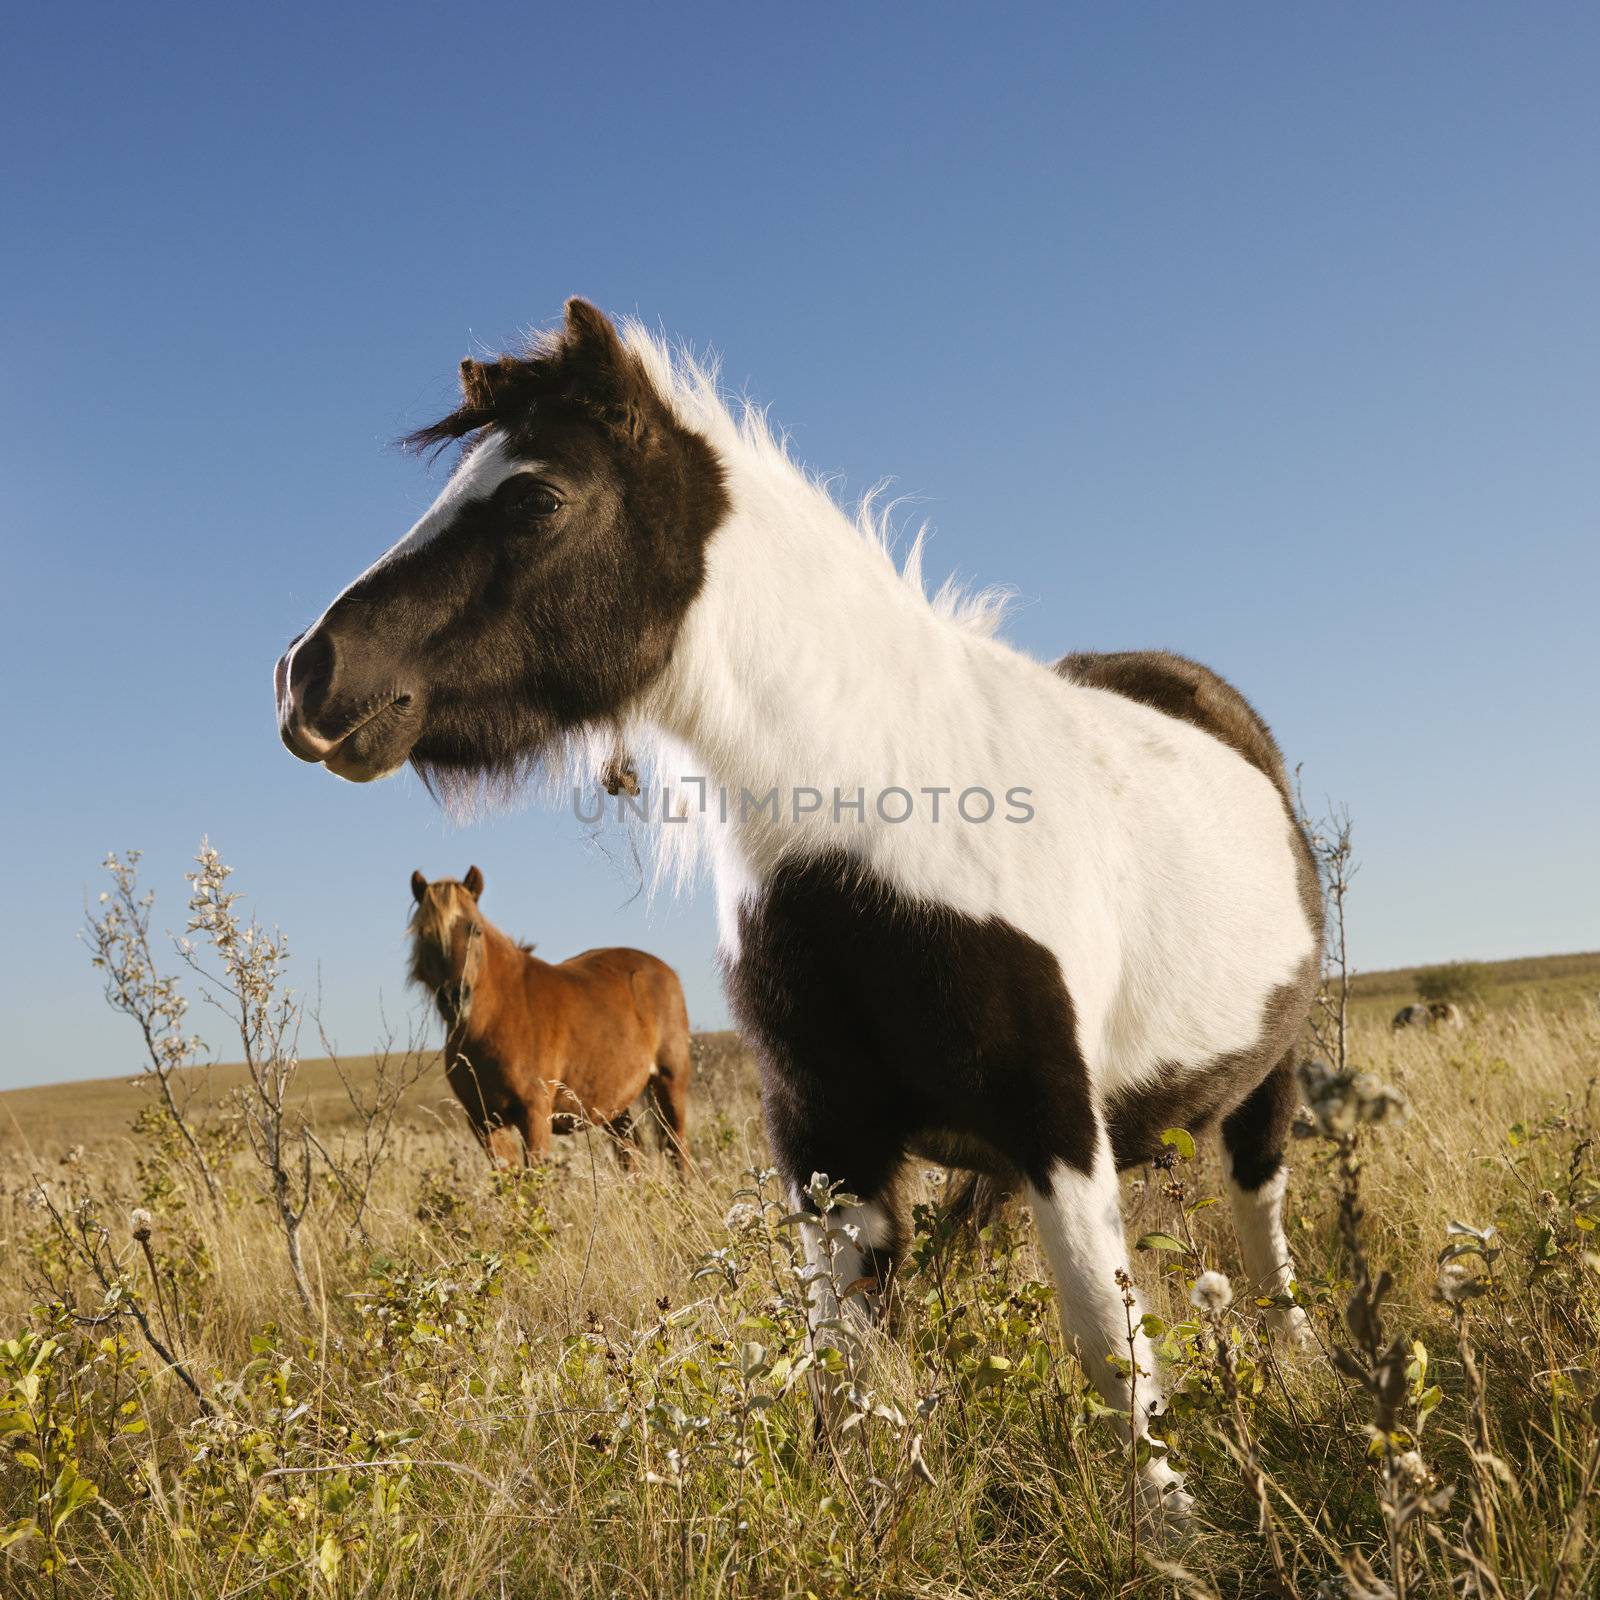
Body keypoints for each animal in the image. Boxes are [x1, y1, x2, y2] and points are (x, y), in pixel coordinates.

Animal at [406, 870, 688, 1171]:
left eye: (475, 929)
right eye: (425, 935)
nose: (454, 998)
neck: (498, 1016)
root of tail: (666, 971)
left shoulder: (534, 1116)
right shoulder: (485, 1122)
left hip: (669, 1084)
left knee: (677, 1149)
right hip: (615, 1103)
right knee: (629, 1154)